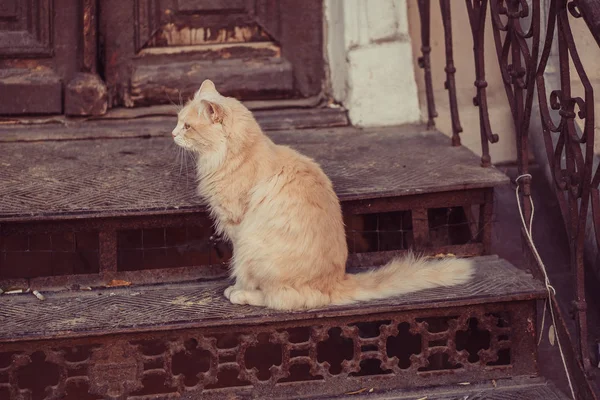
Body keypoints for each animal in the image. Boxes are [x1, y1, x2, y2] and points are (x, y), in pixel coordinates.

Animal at [172, 79, 474, 310]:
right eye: (177, 121)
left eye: (187, 126)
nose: (172, 133)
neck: (236, 154)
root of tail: (334, 282)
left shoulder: (237, 227)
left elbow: (240, 270)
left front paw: (237, 287)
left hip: (252, 245)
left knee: (278, 299)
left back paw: (242, 295)